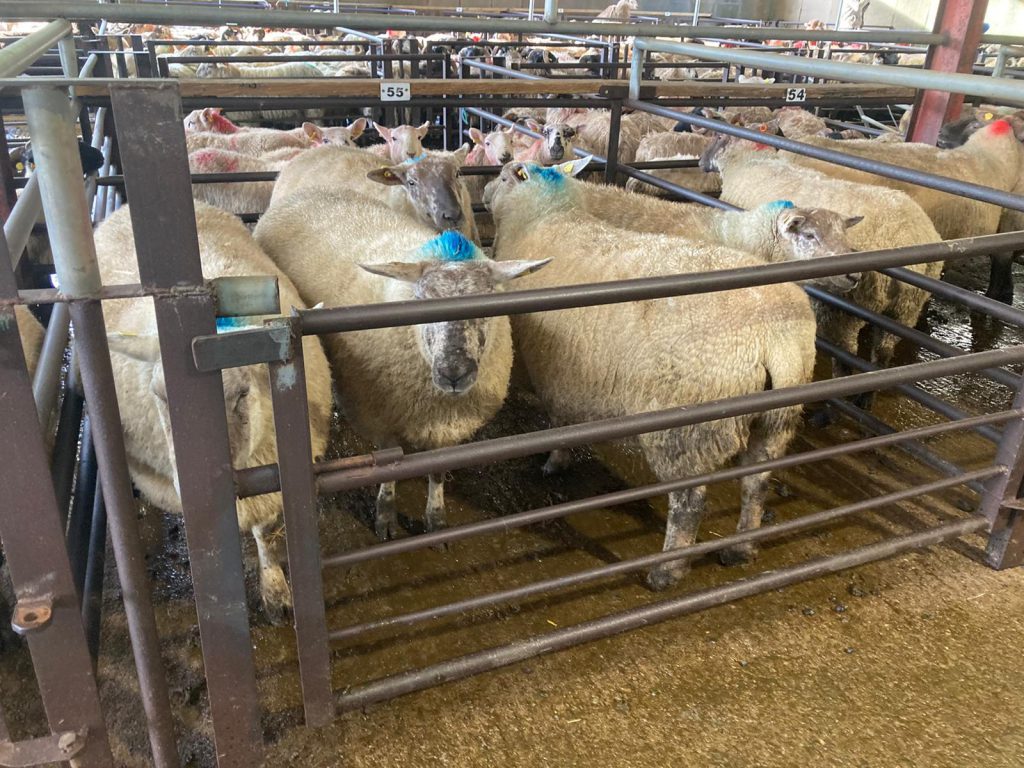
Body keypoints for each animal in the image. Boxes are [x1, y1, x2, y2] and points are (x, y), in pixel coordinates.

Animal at [93, 201, 332, 622]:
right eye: (159, 395)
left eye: (242, 394)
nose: (194, 484)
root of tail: (120, 207)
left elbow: (265, 534)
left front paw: (275, 591)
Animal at [254, 193, 548, 538]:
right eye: (420, 300)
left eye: (490, 303)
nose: (454, 373)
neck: (438, 403)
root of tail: (304, 195)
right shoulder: (379, 416)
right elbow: (387, 468)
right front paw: (385, 515)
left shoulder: (446, 427)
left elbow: (437, 472)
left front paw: (436, 519)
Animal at [485, 162, 817, 589]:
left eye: (504, 175)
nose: (484, 191)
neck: (542, 214)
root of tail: (774, 338)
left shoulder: (554, 369)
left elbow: (559, 421)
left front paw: (555, 462)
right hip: (776, 419)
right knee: (757, 482)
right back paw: (741, 548)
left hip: (685, 428)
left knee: (689, 503)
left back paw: (667, 571)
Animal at [701, 135, 944, 387]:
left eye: (715, 138)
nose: (700, 162)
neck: (747, 159)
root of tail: (909, 236)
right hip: (905, 310)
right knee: (882, 356)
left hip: (843, 314)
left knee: (845, 361)